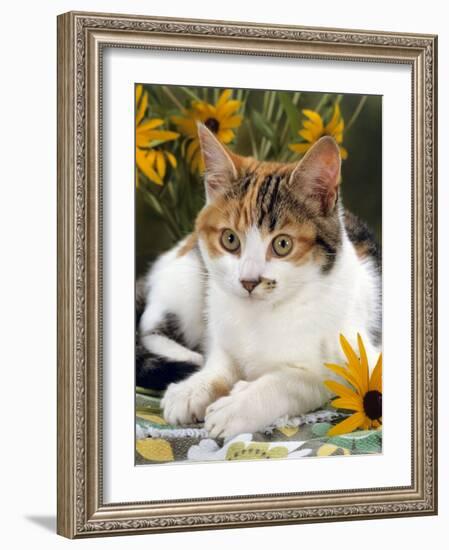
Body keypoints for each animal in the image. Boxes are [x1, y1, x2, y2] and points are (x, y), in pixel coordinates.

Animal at [137, 125, 382, 440]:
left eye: (282, 244)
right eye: (230, 239)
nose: (249, 281)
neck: (263, 313)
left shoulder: (356, 356)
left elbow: (301, 379)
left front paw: (239, 404)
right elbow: (221, 360)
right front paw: (195, 387)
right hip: (189, 273)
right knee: (149, 326)